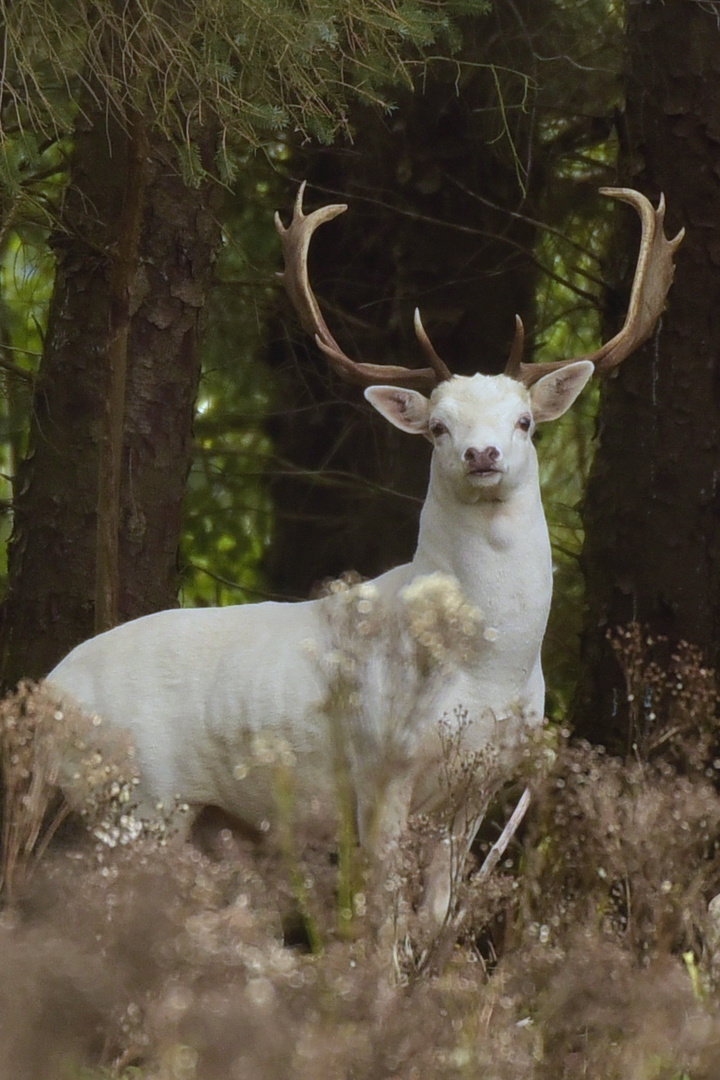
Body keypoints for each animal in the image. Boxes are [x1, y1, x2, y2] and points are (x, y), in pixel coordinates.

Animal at [46, 183, 682, 920]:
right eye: (437, 427)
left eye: (524, 422)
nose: (483, 453)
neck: (491, 670)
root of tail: (47, 691)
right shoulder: (381, 767)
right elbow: (381, 920)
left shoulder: (481, 784)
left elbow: (435, 917)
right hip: (135, 798)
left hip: (196, 819)